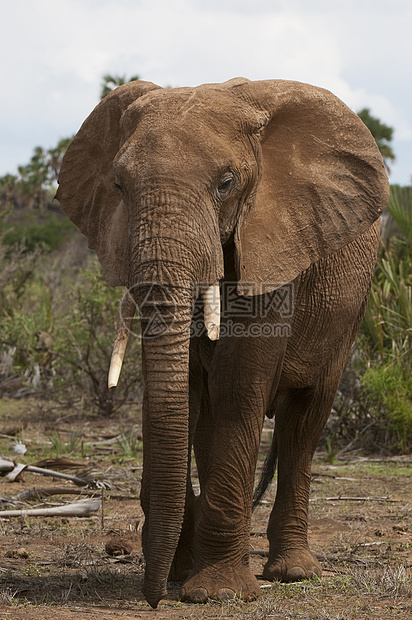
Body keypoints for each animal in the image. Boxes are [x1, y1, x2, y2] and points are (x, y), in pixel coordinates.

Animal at [55, 76, 390, 604]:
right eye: (118, 186)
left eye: (226, 183)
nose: (153, 598)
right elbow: (183, 392)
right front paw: (181, 572)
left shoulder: (274, 245)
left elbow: (239, 384)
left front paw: (217, 594)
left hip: (350, 308)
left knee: (304, 418)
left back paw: (293, 572)